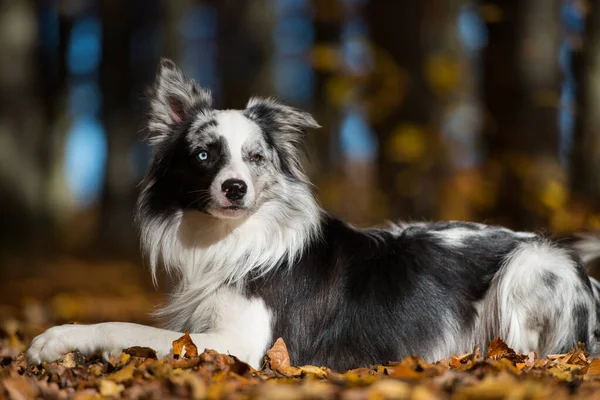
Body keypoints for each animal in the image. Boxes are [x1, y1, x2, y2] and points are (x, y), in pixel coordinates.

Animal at [25, 57, 600, 370]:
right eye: (205, 155)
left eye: (256, 157)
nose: (234, 187)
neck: (232, 238)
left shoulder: (240, 343)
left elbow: (122, 325)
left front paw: (54, 339)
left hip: (533, 265)